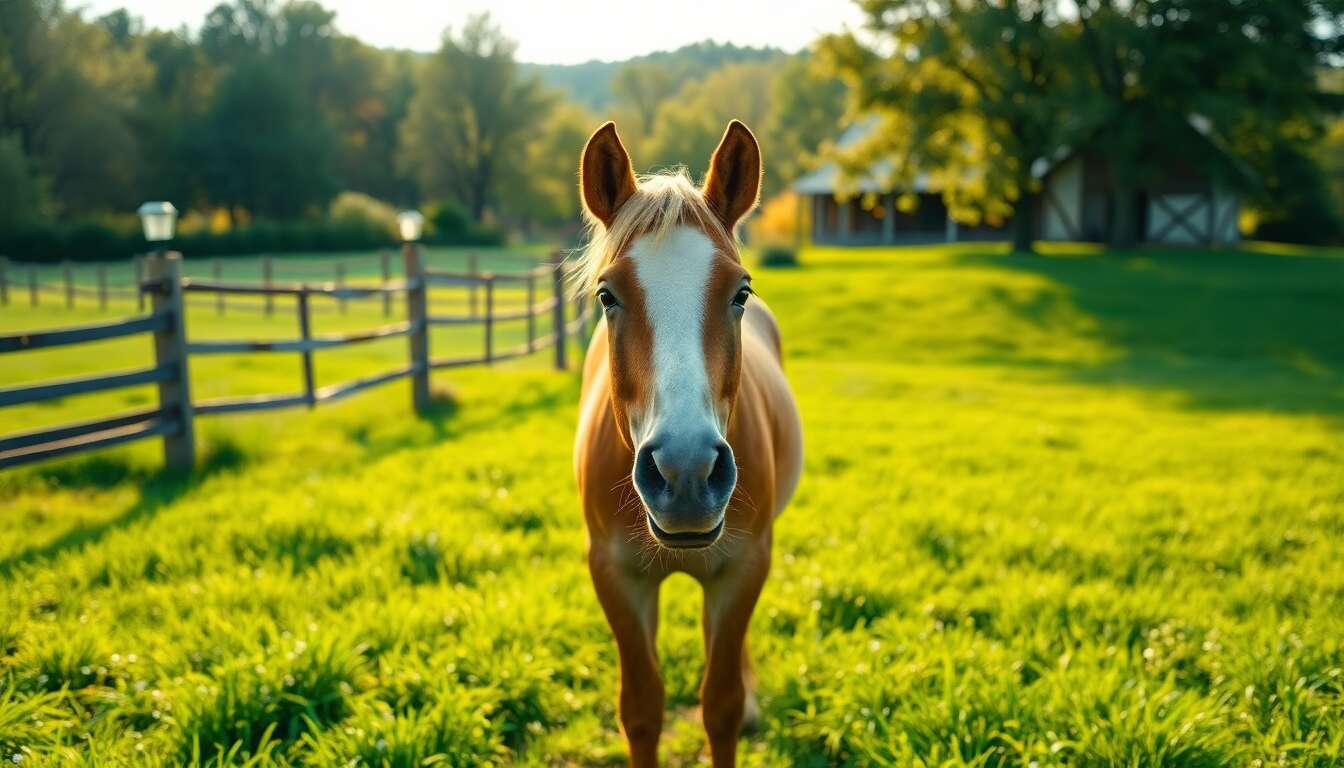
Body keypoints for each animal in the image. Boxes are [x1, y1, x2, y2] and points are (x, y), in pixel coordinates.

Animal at [572, 120, 803, 767]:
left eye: (740, 292)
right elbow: (641, 709)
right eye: (607, 296)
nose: (686, 473)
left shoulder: (743, 567)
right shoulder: (616, 576)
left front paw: (739, 705)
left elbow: (719, 706)